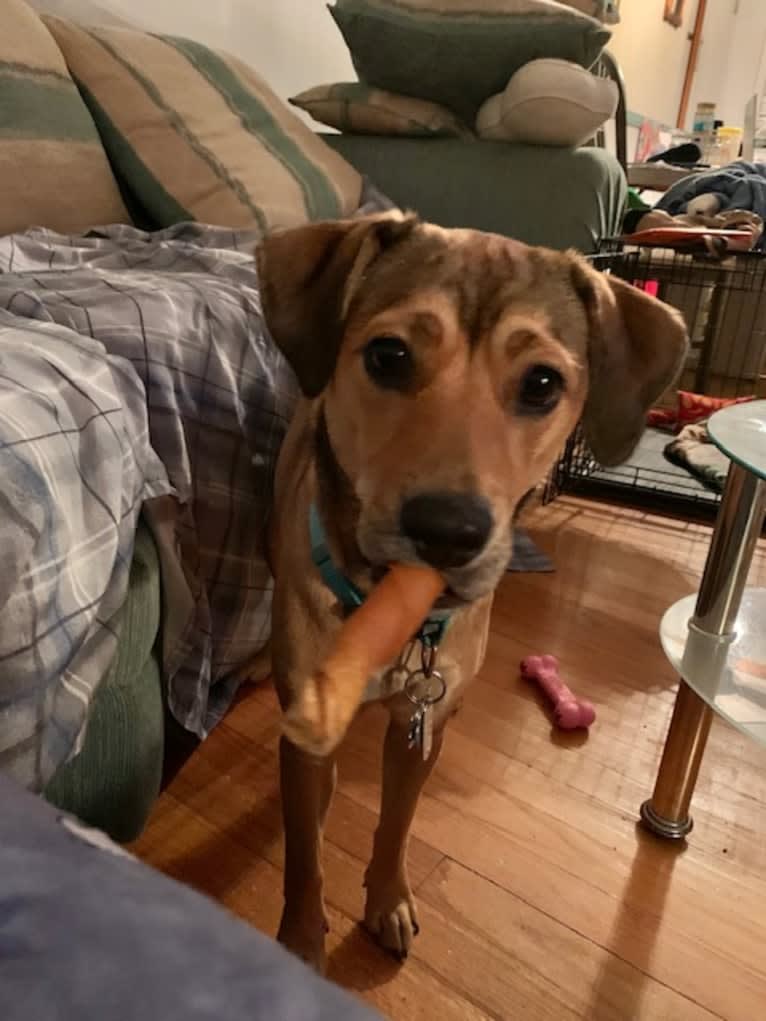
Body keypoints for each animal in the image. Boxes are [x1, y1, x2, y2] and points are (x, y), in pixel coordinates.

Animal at [256, 211, 690, 967]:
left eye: (543, 382)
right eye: (388, 356)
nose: (448, 531)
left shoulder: (425, 721)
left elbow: (397, 822)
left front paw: (387, 900)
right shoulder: (308, 725)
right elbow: (306, 858)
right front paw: (302, 941)